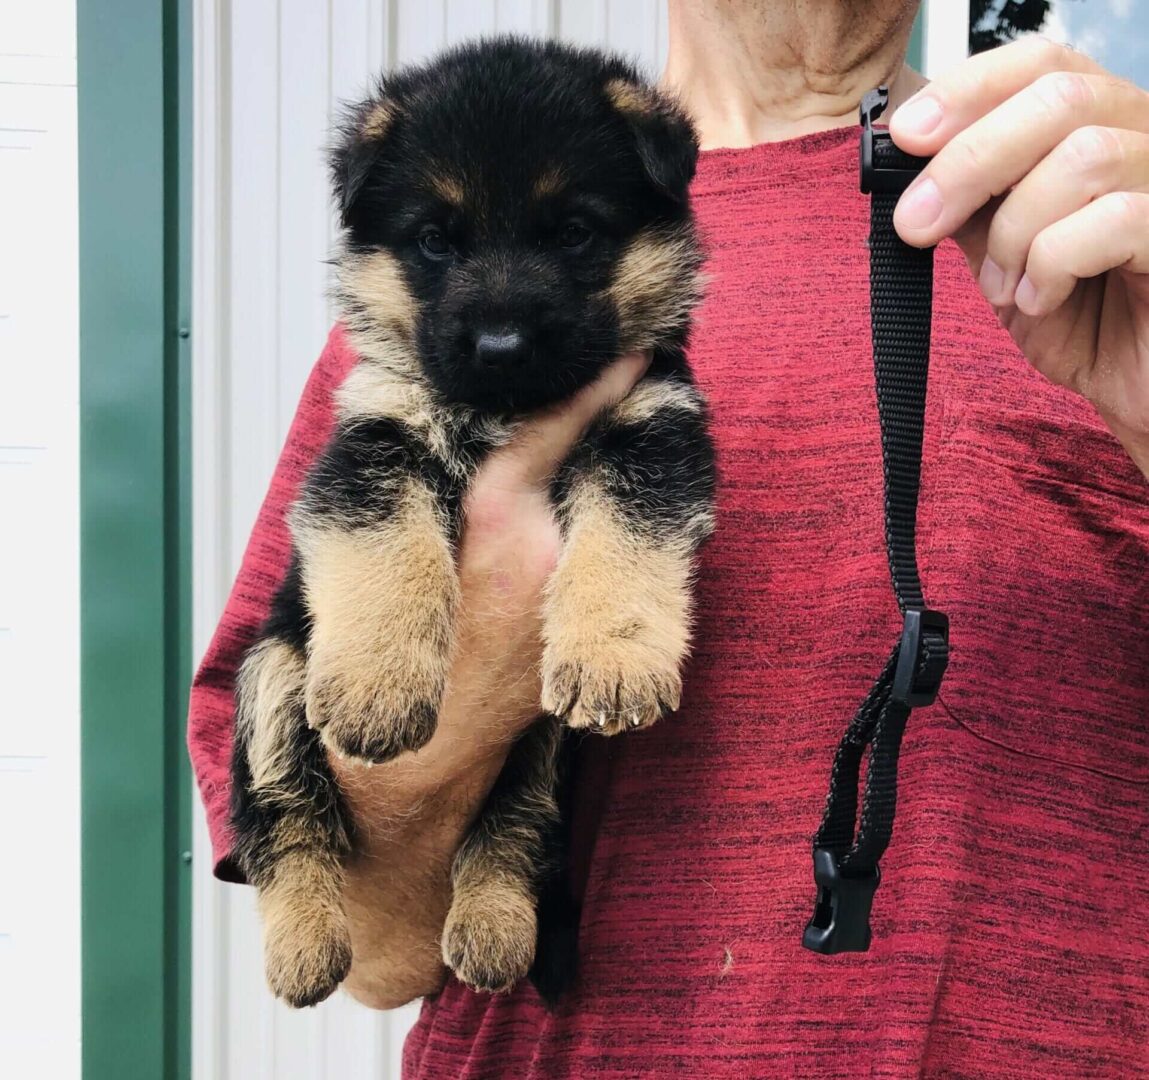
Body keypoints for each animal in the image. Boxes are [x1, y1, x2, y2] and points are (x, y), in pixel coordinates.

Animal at [230, 35, 716, 1011]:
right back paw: (304, 940)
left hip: (543, 741)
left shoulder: (653, 430)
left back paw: (492, 927)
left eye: (573, 232)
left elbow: (626, 541)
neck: (506, 412)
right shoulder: (375, 441)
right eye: (433, 241)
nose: (499, 346)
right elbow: (389, 553)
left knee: (514, 821)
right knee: (284, 816)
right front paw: (379, 684)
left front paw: (613, 657)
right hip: (271, 672)